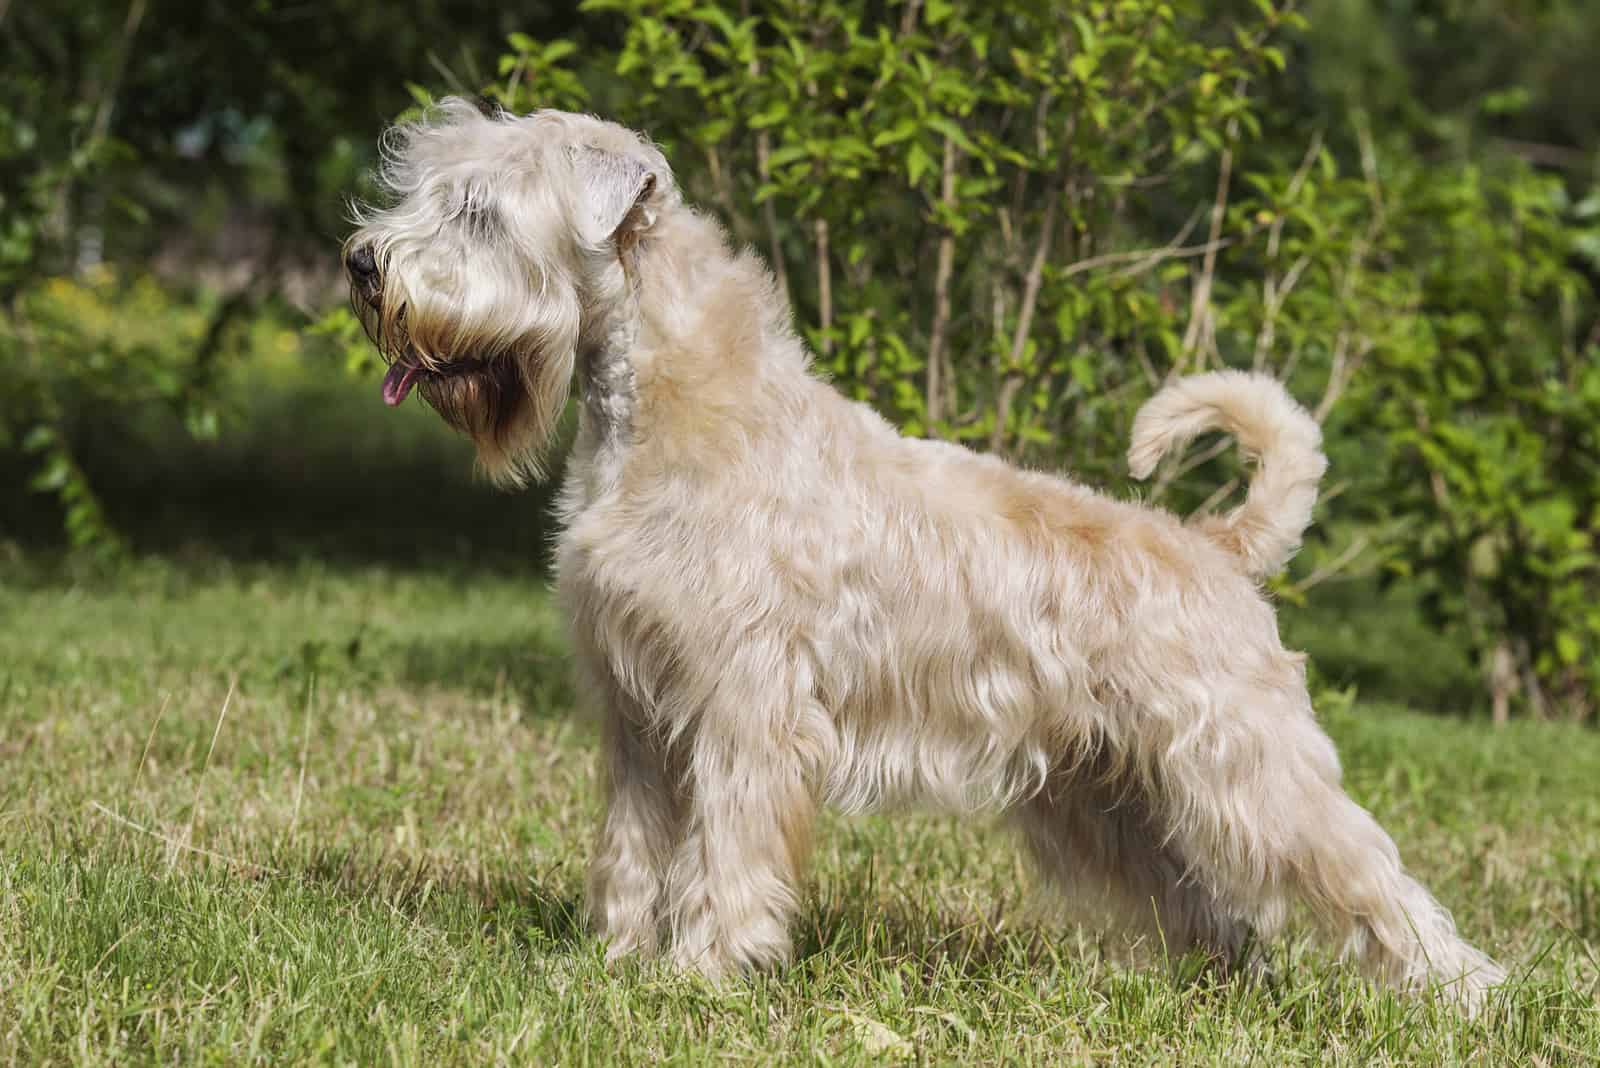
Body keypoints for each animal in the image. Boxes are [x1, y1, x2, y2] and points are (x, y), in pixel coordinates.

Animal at [344, 97, 1504, 1010]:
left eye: (479, 210)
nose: (362, 262)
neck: (664, 415)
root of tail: (1214, 547)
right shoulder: (635, 711)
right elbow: (634, 847)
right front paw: (614, 963)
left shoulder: (743, 703)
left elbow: (727, 846)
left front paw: (704, 973)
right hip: (1109, 798)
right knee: (1216, 912)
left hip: (1250, 768)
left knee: (1371, 881)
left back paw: (1467, 999)